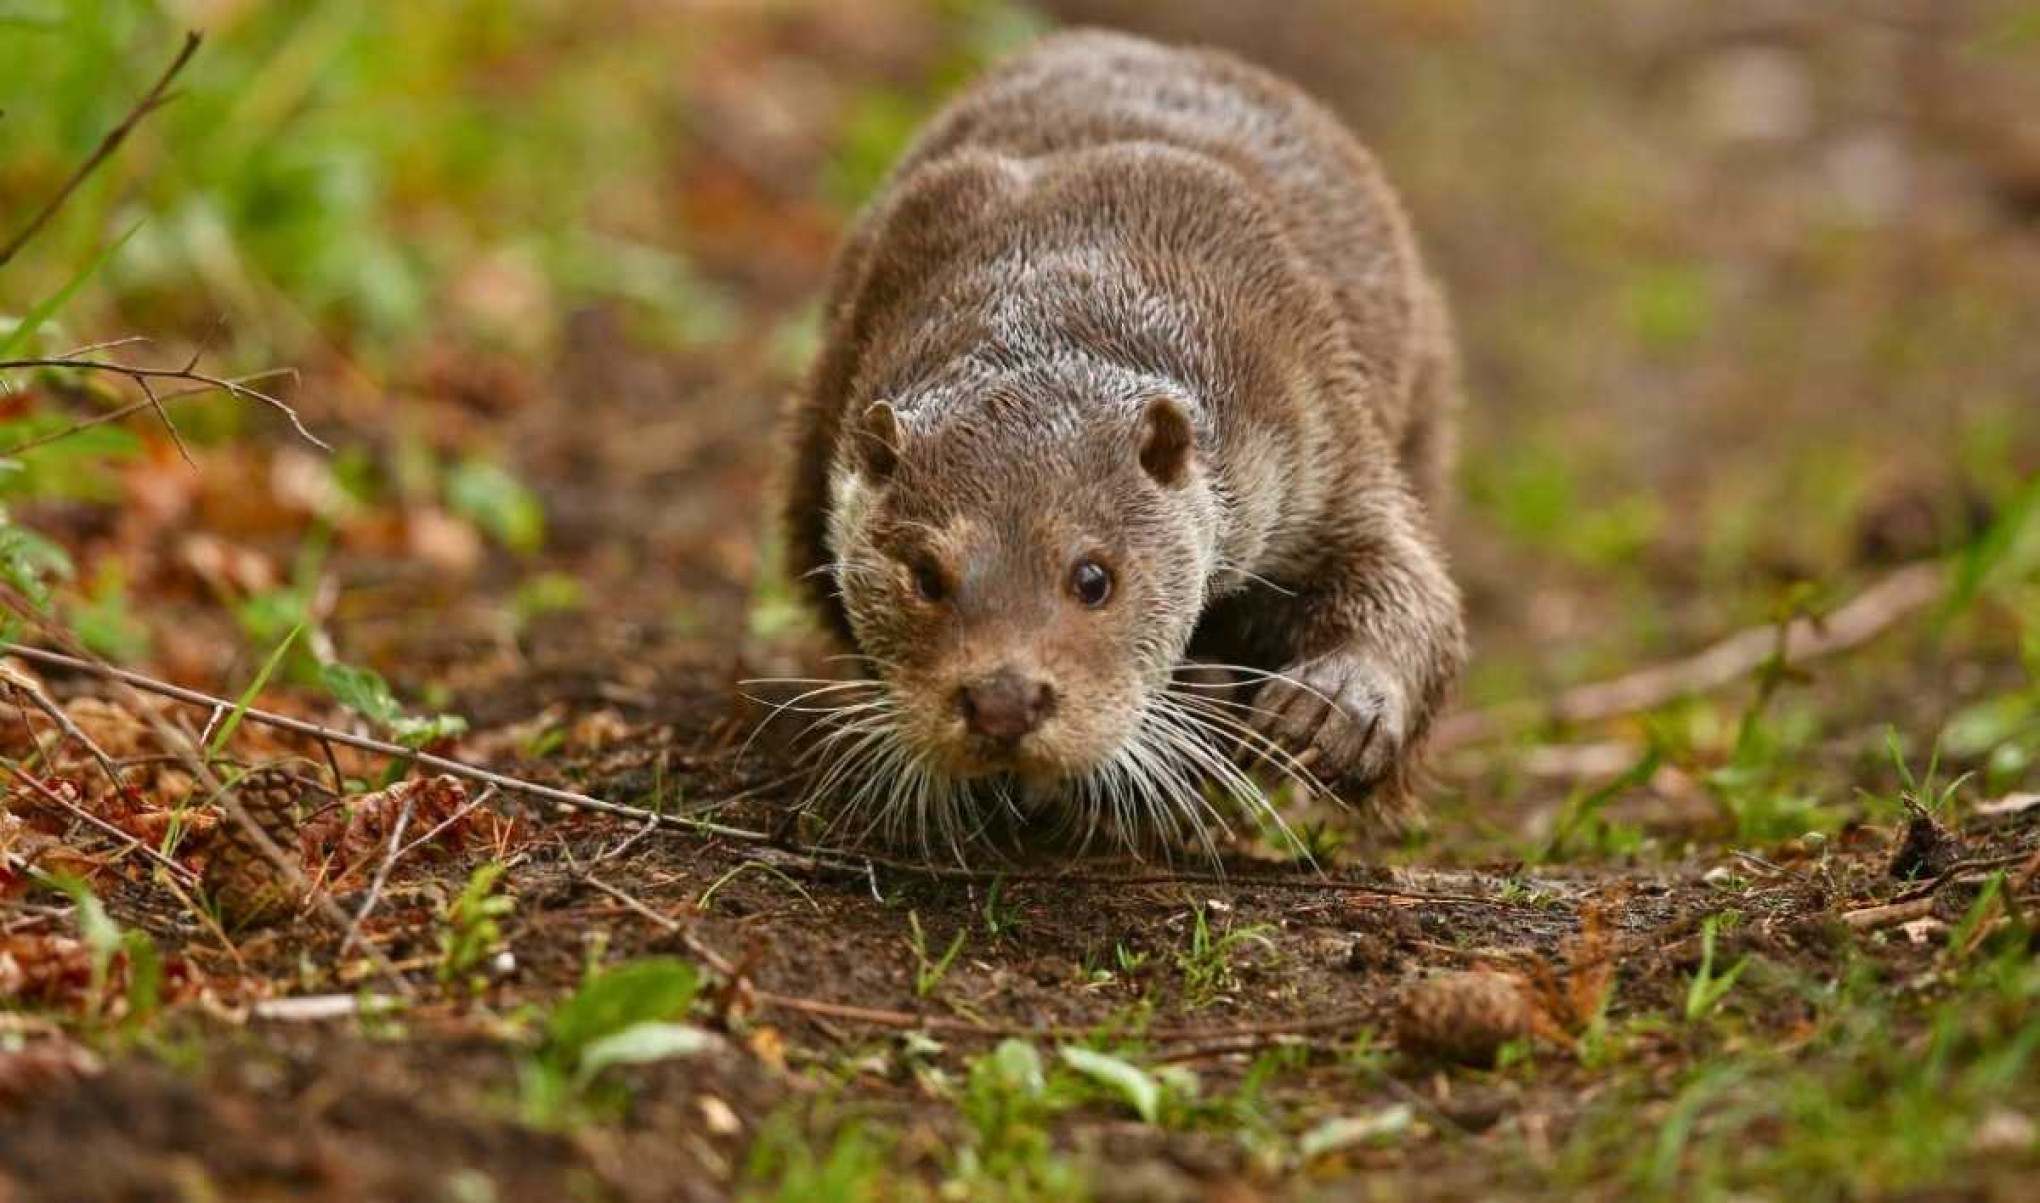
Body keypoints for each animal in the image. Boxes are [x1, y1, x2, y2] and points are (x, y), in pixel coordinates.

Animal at [775, 28, 1468, 856]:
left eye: (1093, 577)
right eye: (927, 576)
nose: (1004, 700)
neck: (1067, 269)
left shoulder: (1319, 428)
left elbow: (1404, 575)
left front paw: (1339, 707)